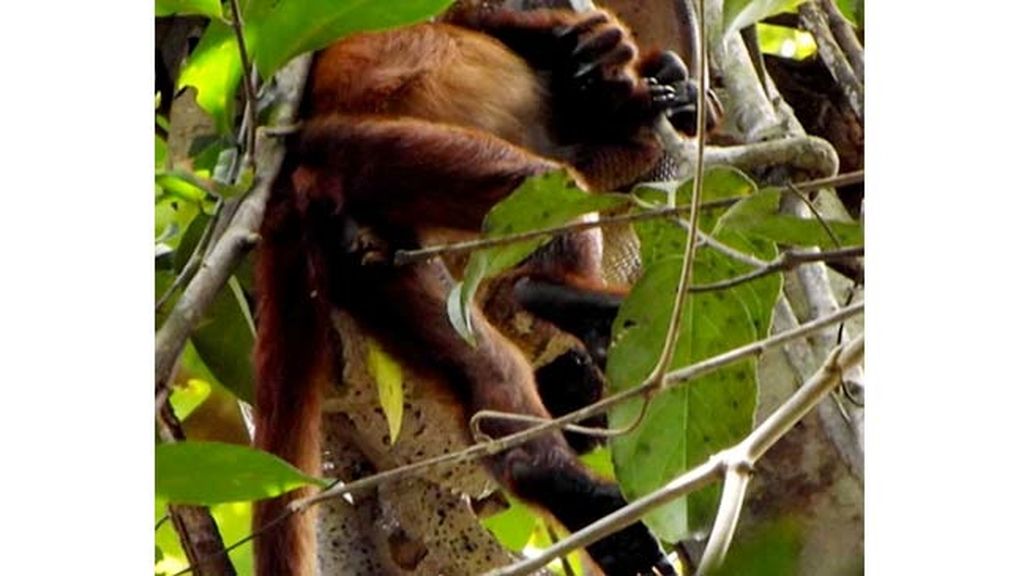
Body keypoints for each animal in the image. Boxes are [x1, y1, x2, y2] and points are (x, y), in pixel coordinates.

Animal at [253, 6, 719, 575]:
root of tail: (296, 176)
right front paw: (597, 50)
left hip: (361, 249)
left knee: (482, 367)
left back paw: (561, 482)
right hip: (377, 149)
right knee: (546, 184)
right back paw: (553, 292)